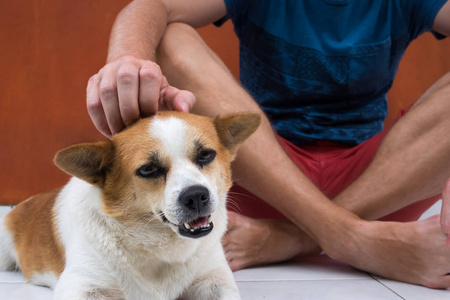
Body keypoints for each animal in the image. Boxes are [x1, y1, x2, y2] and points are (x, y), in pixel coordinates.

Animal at [0, 111, 260, 298]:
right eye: (149, 169)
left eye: (206, 155)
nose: (196, 196)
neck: (160, 247)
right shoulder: (81, 287)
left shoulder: (215, 281)